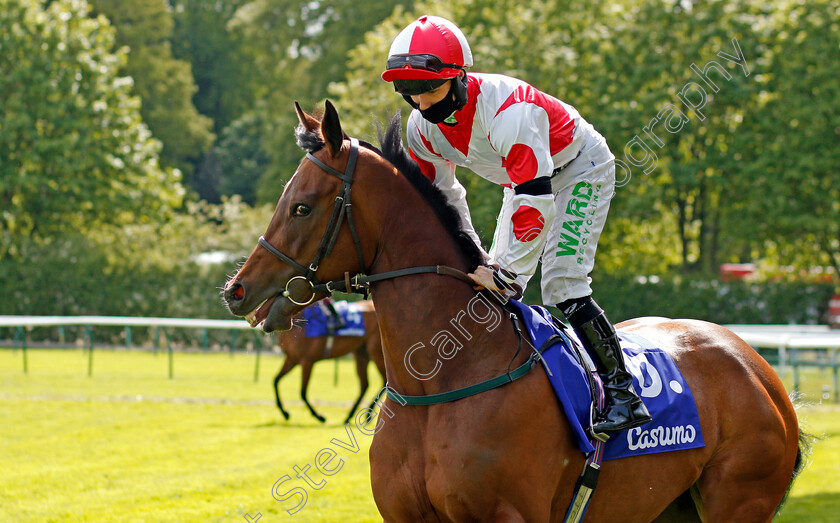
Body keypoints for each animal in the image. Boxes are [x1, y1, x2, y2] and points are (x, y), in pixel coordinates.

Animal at [223, 100, 808, 520]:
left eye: (302, 206)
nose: (236, 290)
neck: (444, 379)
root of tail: (756, 365)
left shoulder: (511, 514)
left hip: (740, 500)